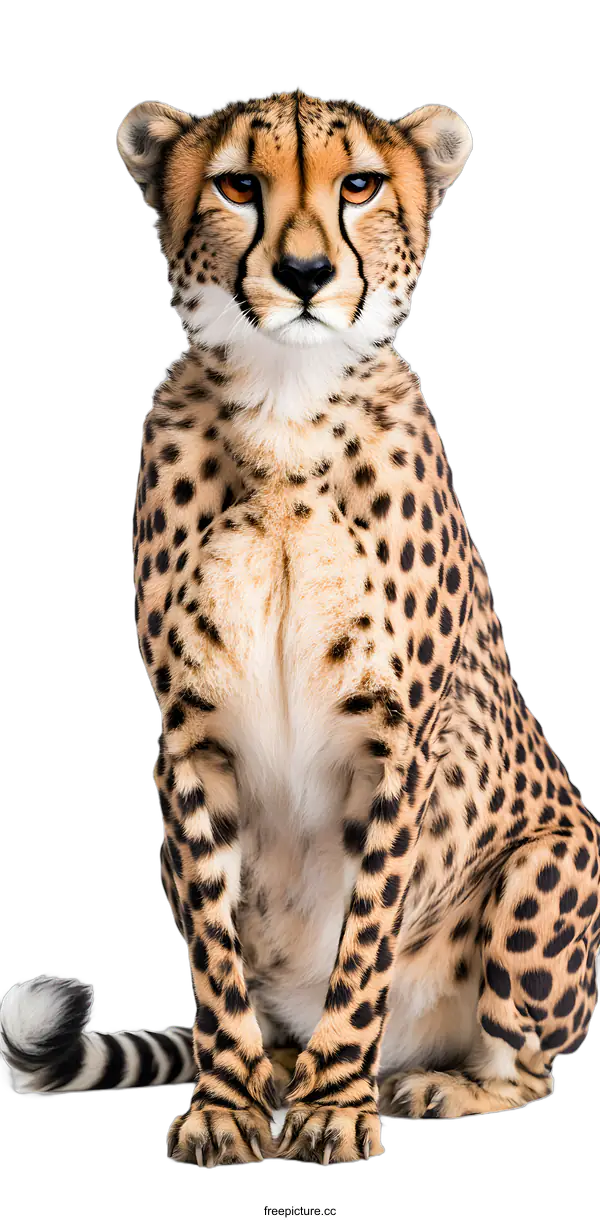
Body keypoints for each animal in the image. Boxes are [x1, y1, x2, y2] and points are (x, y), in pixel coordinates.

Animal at [2, 90, 598, 1170]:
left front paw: (336, 1106)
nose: (308, 274)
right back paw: (279, 1068)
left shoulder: (398, 745)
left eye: (358, 184)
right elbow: (211, 946)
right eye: (240, 184)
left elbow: (362, 946)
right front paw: (230, 1105)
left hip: (555, 857)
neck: (285, 408)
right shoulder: (188, 740)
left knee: (529, 1064)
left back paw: (431, 1082)